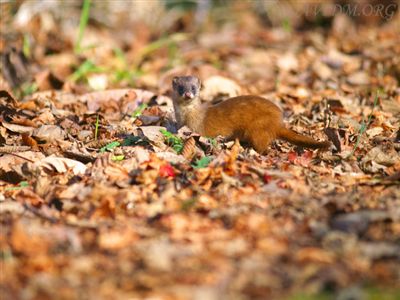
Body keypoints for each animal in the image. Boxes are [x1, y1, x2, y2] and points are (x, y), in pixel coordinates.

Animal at [172, 76, 332, 154]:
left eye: (193, 87)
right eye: (180, 88)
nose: (188, 94)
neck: (185, 117)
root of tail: (278, 122)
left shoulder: (197, 127)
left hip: (256, 128)